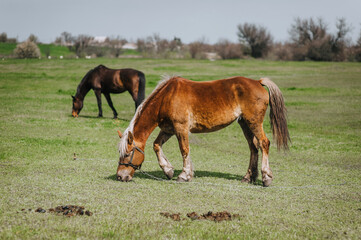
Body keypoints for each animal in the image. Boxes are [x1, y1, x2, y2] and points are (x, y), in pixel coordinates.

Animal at [115, 76, 290, 187]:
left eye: (127, 154)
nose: (120, 176)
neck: (167, 98)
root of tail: (258, 82)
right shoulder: (169, 130)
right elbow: (157, 145)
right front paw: (168, 170)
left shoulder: (181, 128)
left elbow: (184, 150)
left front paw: (184, 175)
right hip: (245, 124)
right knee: (253, 147)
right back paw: (248, 177)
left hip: (254, 122)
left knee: (264, 143)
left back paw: (266, 177)